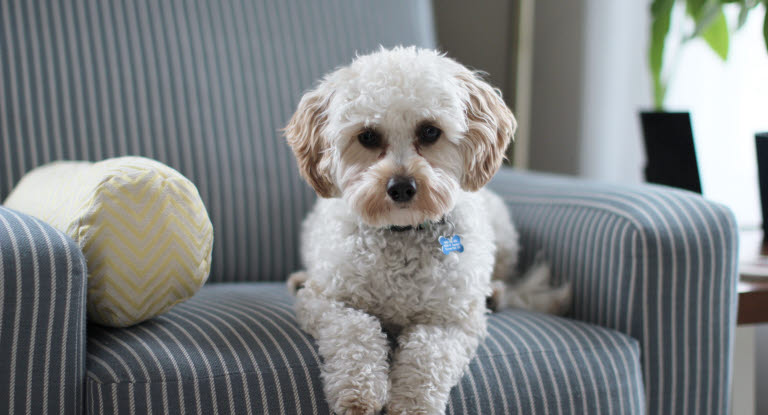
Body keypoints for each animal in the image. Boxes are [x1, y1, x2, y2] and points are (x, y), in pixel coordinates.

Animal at [284, 47, 568, 415]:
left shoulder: (451, 320)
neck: (402, 231)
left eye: (430, 132)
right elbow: (356, 331)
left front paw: (411, 402)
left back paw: (495, 292)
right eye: (368, 136)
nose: (401, 187)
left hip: (503, 234)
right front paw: (358, 391)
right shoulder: (327, 301)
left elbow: (427, 355)